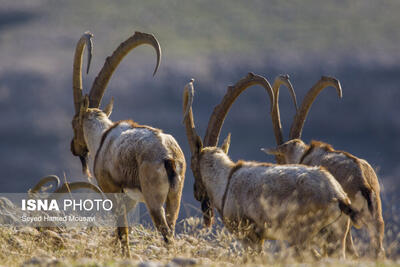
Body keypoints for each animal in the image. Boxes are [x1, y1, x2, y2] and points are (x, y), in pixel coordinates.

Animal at [65, 31, 186, 258]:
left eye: (74, 122)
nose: (74, 148)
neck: (102, 137)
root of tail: (169, 156)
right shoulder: (130, 199)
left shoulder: (112, 190)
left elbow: (122, 230)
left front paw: (125, 256)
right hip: (175, 197)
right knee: (172, 227)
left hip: (154, 199)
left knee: (166, 233)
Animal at [183, 74, 360, 260]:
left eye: (193, 164)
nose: (196, 192)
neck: (226, 181)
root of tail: (339, 198)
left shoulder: (249, 236)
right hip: (337, 237)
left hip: (302, 237)